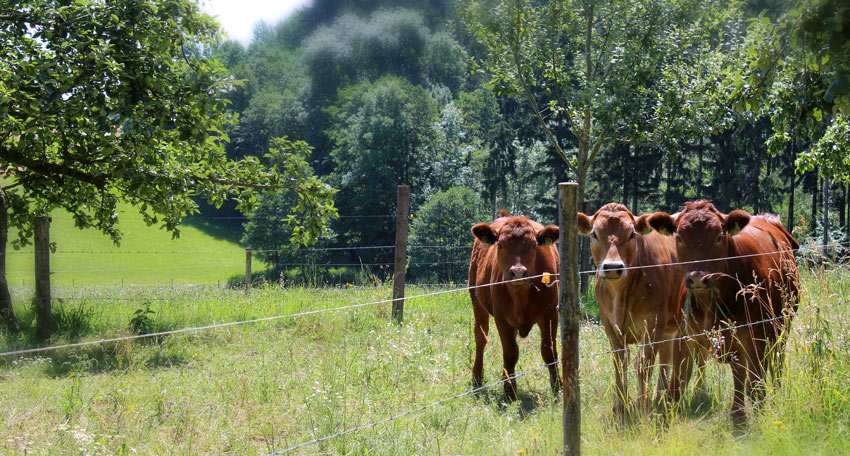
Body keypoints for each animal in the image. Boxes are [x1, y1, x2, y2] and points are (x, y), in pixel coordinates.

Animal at [468, 210, 560, 400]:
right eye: (501, 245)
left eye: (534, 246)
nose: (518, 272)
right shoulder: (502, 318)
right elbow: (510, 353)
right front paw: (510, 391)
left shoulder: (550, 313)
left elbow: (549, 351)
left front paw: (558, 388)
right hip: (475, 297)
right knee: (481, 335)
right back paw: (477, 377)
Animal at [580, 203, 700, 416]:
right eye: (594, 233)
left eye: (631, 234)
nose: (612, 267)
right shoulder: (610, 326)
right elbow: (620, 363)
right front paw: (620, 406)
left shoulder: (653, 323)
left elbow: (643, 364)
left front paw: (642, 406)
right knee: (667, 355)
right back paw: (660, 395)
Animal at [644, 200, 800, 424]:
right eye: (679, 237)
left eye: (719, 236)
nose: (698, 278)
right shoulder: (684, 336)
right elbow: (677, 385)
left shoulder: (755, 336)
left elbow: (756, 385)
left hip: (782, 326)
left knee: (774, 364)